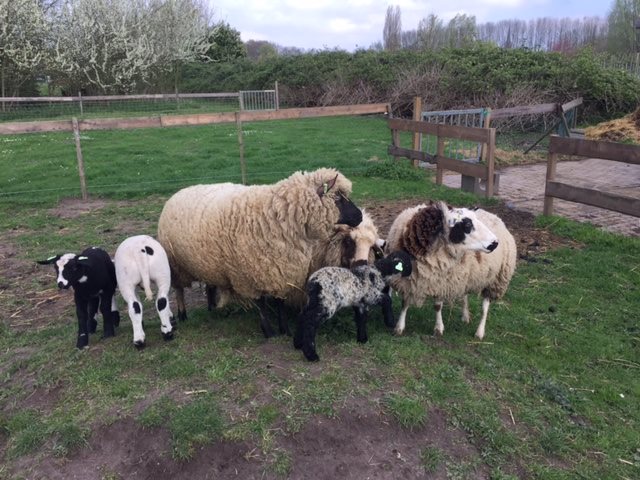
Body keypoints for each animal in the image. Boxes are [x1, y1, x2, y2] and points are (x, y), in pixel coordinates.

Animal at [157, 168, 363, 337]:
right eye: (338, 198)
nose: (360, 216)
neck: (278, 216)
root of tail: (178, 192)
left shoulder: (281, 270)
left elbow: (279, 303)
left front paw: (284, 330)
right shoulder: (250, 274)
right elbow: (262, 304)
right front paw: (268, 331)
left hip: (207, 261)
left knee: (209, 284)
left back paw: (212, 308)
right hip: (176, 265)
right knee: (179, 290)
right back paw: (183, 314)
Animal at [385, 201, 516, 340]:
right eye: (467, 224)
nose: (495, 243)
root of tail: (493, 215)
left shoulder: (441, 281)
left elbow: (437, 306)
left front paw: (438, 328)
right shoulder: (407, 281)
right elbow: (405, 304)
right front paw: (399, 327)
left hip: (495, 281)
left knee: (485, 307)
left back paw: (479, 332)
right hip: (466, 276)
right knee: (465, 295)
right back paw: (465, 316)